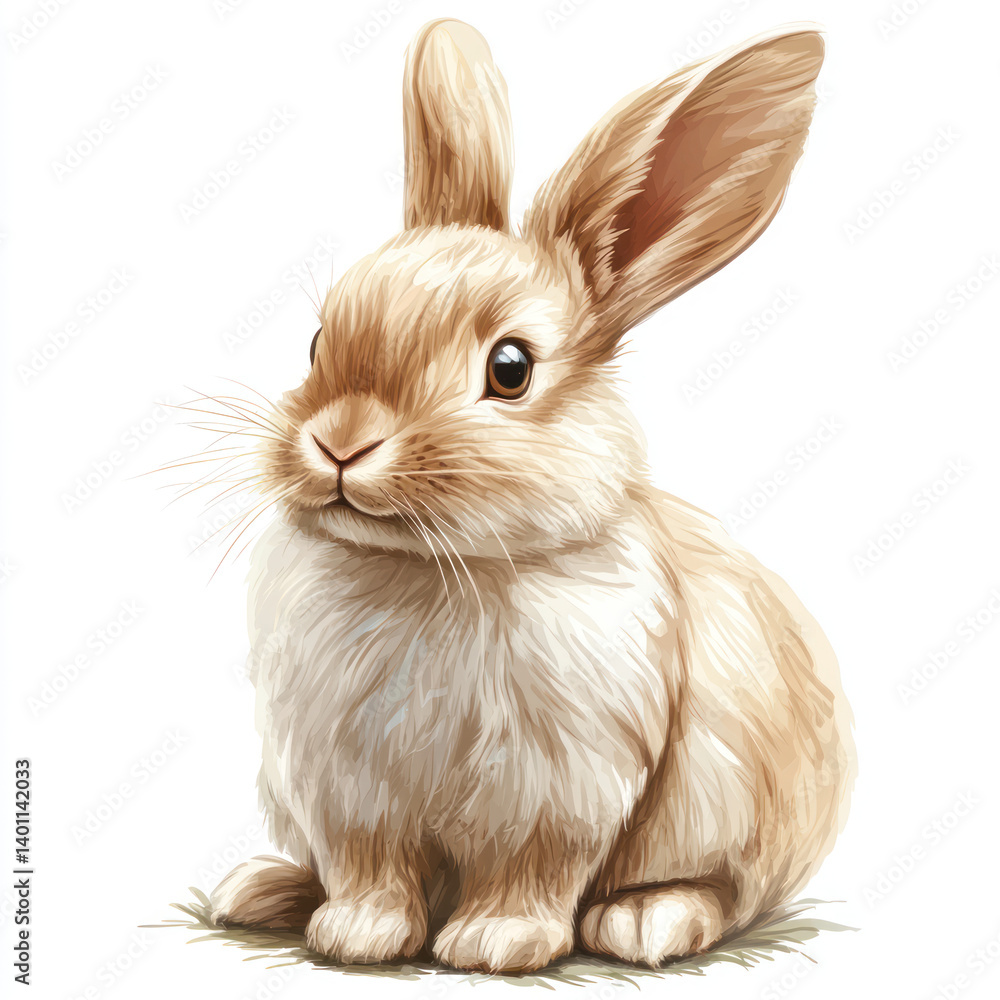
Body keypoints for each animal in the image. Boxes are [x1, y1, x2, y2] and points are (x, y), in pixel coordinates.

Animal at [208, 18, 854, 974]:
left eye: (510, 369)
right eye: (319, 339)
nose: (339, 443)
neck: (437, 565)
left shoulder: (562, 788)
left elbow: (532, 870)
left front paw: (494, 943)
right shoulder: (346, 791)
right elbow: (369, 866)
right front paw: (358, 934)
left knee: (727, 895)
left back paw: (647, 920)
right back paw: (260, 889)